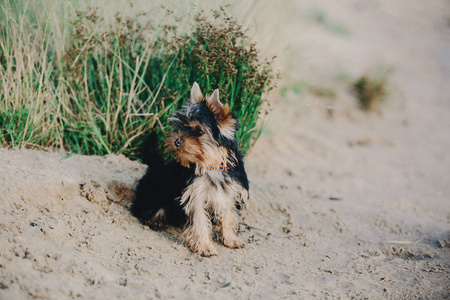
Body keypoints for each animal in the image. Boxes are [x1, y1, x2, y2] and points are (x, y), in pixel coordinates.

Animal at [130, 83, 250, 256]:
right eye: (179, 126)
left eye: (199, 131)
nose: (176, 141)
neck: (212, 165)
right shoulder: (195, 194)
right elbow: (199, 220)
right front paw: (205, 246)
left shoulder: (230, 192)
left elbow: (227, 216)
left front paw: (230, 239)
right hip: (152, 194)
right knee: (145, 208)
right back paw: (154, 221)